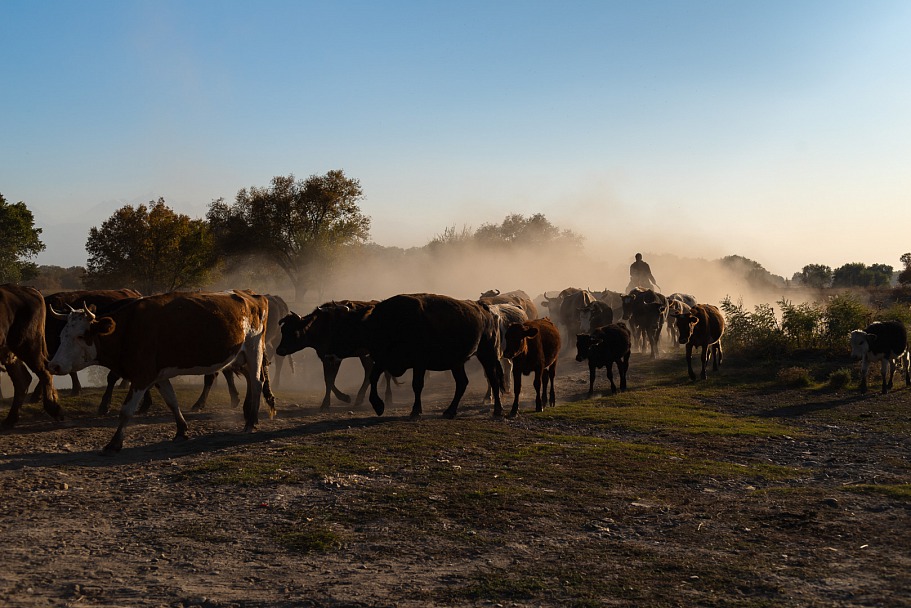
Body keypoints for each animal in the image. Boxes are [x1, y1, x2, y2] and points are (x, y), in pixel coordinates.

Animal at [0, 284, 61, 428]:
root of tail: (29, 289)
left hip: (27, 345)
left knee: (44, 371)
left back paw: (54, 409)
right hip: (10, 351)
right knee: (22, 379)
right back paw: (10, 420)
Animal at [49, 292, 274, 454]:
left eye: (81, 335)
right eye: (62, 335)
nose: (54, 366)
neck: (128, 329)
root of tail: (252, 296)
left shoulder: (142, 376)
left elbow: (126, 410)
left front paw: (114, 443)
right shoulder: (158, 375)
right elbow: (172, 401)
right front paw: (181, 430)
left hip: (253, 349)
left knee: (256, 383)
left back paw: (250, 422)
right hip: (241, 357)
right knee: (253, 380)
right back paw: (249, 415)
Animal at [364, 294, 506, 418]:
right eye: (371, 332)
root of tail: (484, 309)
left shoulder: (419, 363)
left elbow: (417, 385)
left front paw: (415, 411)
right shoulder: (381, 361)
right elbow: (373, 377)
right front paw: (378, 406)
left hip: (487, 355)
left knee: (493, 380)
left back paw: (498, 410)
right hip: (458, 363)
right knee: (462, 382)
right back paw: (449, 411)